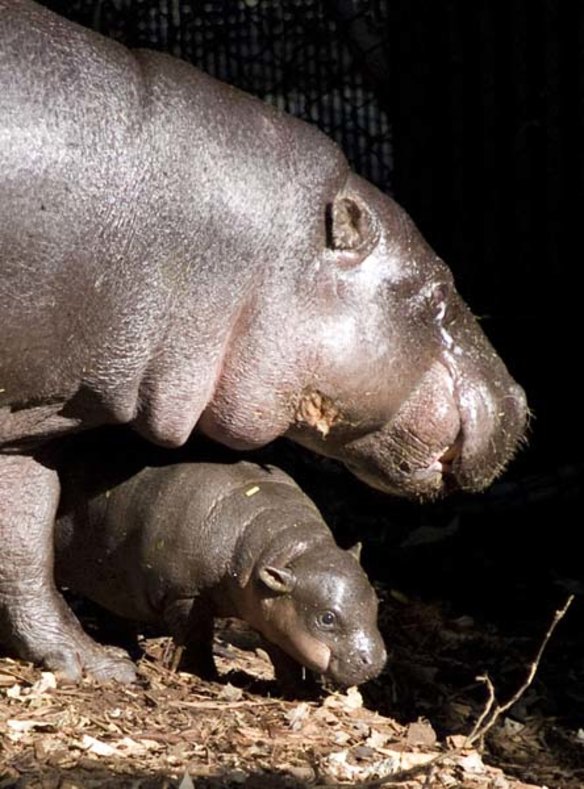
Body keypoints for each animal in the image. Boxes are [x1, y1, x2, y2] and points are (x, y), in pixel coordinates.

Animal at [55, 459, 386, 689]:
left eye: (375, 604)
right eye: (326, 618)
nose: (376, 660)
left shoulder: (275, 606)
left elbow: (284, 647)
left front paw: (300, 689)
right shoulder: (185, 593)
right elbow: (196, 634)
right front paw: (204, 674)